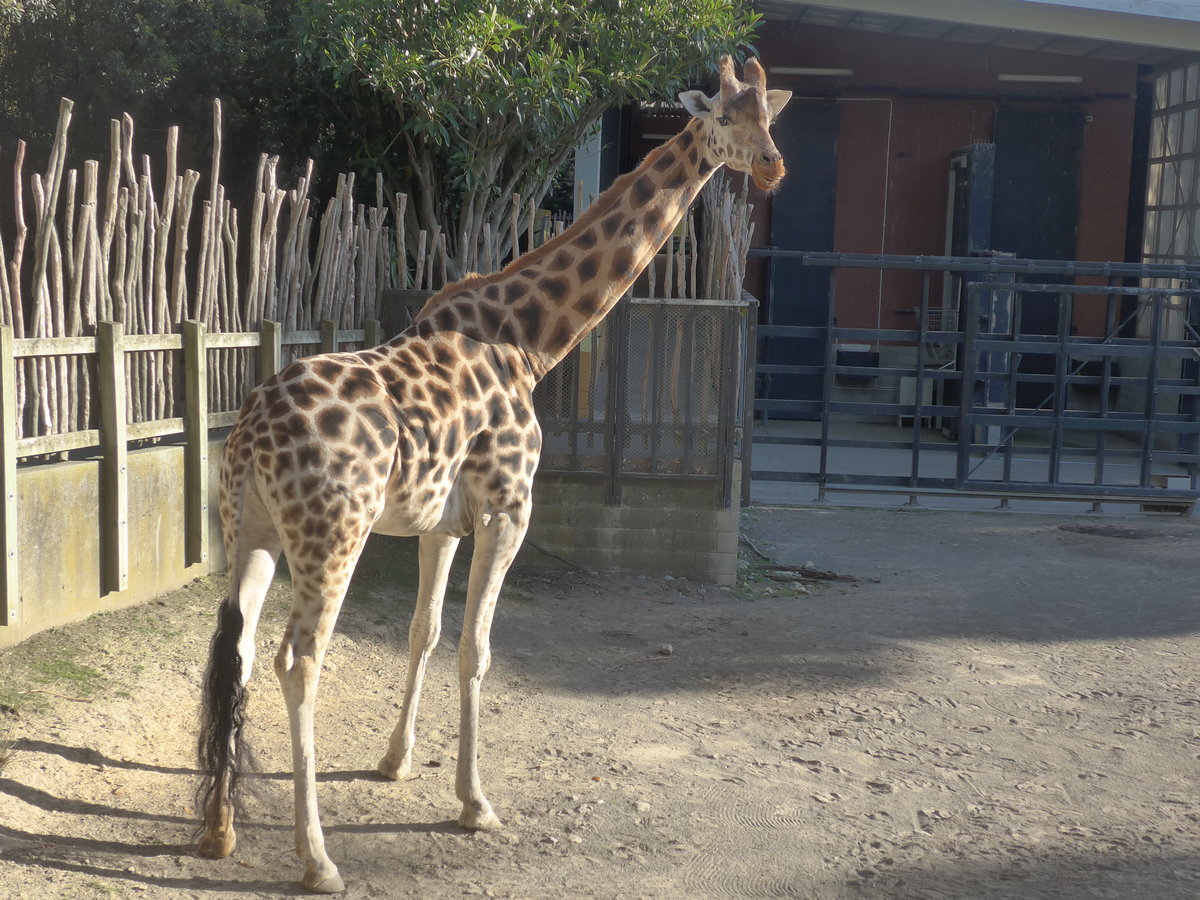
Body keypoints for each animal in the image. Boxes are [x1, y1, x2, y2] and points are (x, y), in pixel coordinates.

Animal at [195, 54, 790, 893]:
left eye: (771, 118)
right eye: (726, 118)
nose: (772, 167)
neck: (530, 339)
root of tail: (249, 430)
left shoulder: (441, 523)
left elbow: (425, 631)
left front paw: (395, 762)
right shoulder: (510, 508)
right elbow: (477, 649)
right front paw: (475, 803)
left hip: (249, 526)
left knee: (238, 646)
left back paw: (219, 830)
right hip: (331, 536)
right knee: (298, 658)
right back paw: (318, 859)